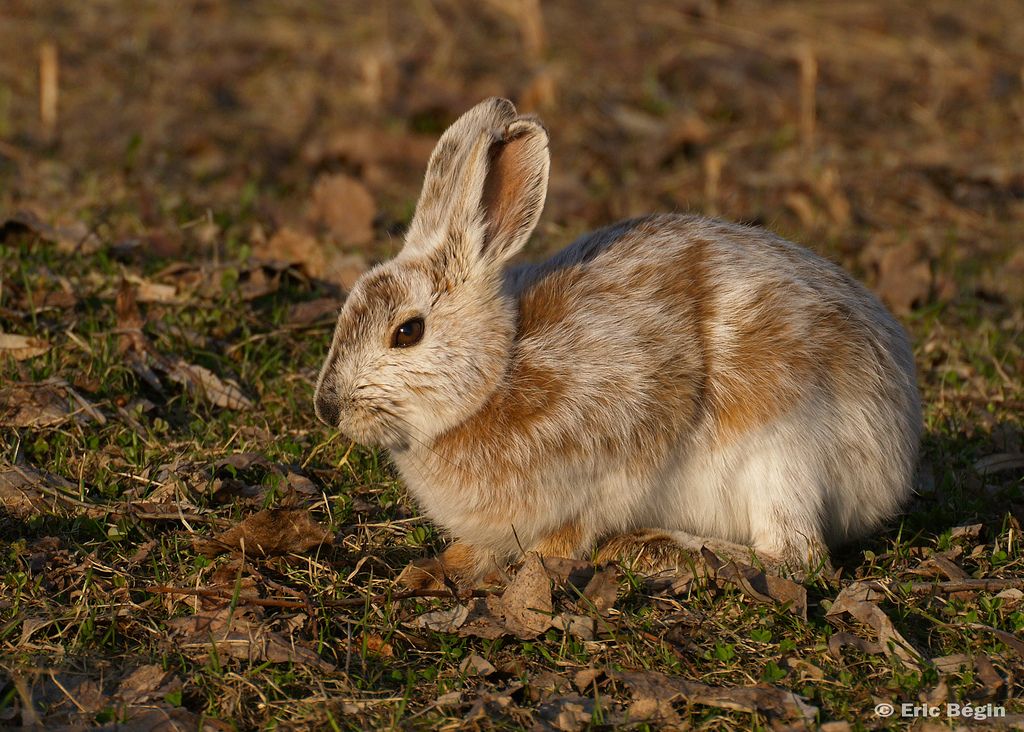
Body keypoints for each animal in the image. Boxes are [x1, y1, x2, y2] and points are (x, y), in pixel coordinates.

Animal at [309, 97, 921, 589]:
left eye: (407, 332)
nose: (327, 407)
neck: (497, 374)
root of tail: (898, 446)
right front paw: (448, 564)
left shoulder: (625, 435)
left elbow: (579, 521)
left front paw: (537, 562)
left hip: (780, 450)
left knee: (796, 556)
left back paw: (649, 550)